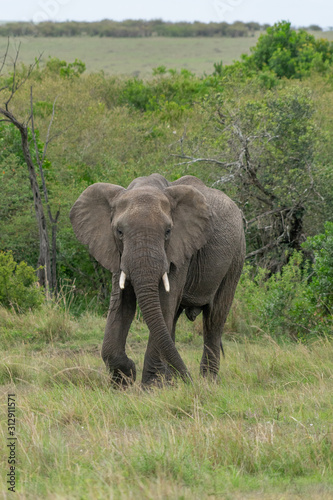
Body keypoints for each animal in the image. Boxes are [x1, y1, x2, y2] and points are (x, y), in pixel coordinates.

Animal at [70, 175, 245, 386]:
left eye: (168, 231)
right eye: (119, 232)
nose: (189, 379)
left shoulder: (180, 251)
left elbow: (163, 303)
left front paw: (151, 387)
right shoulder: (117, 253)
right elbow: (122, 304)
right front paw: (124, 380)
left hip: (236, 256)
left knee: (214, 318)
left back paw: (206, 382)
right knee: (173, 319)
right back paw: (174, 381)